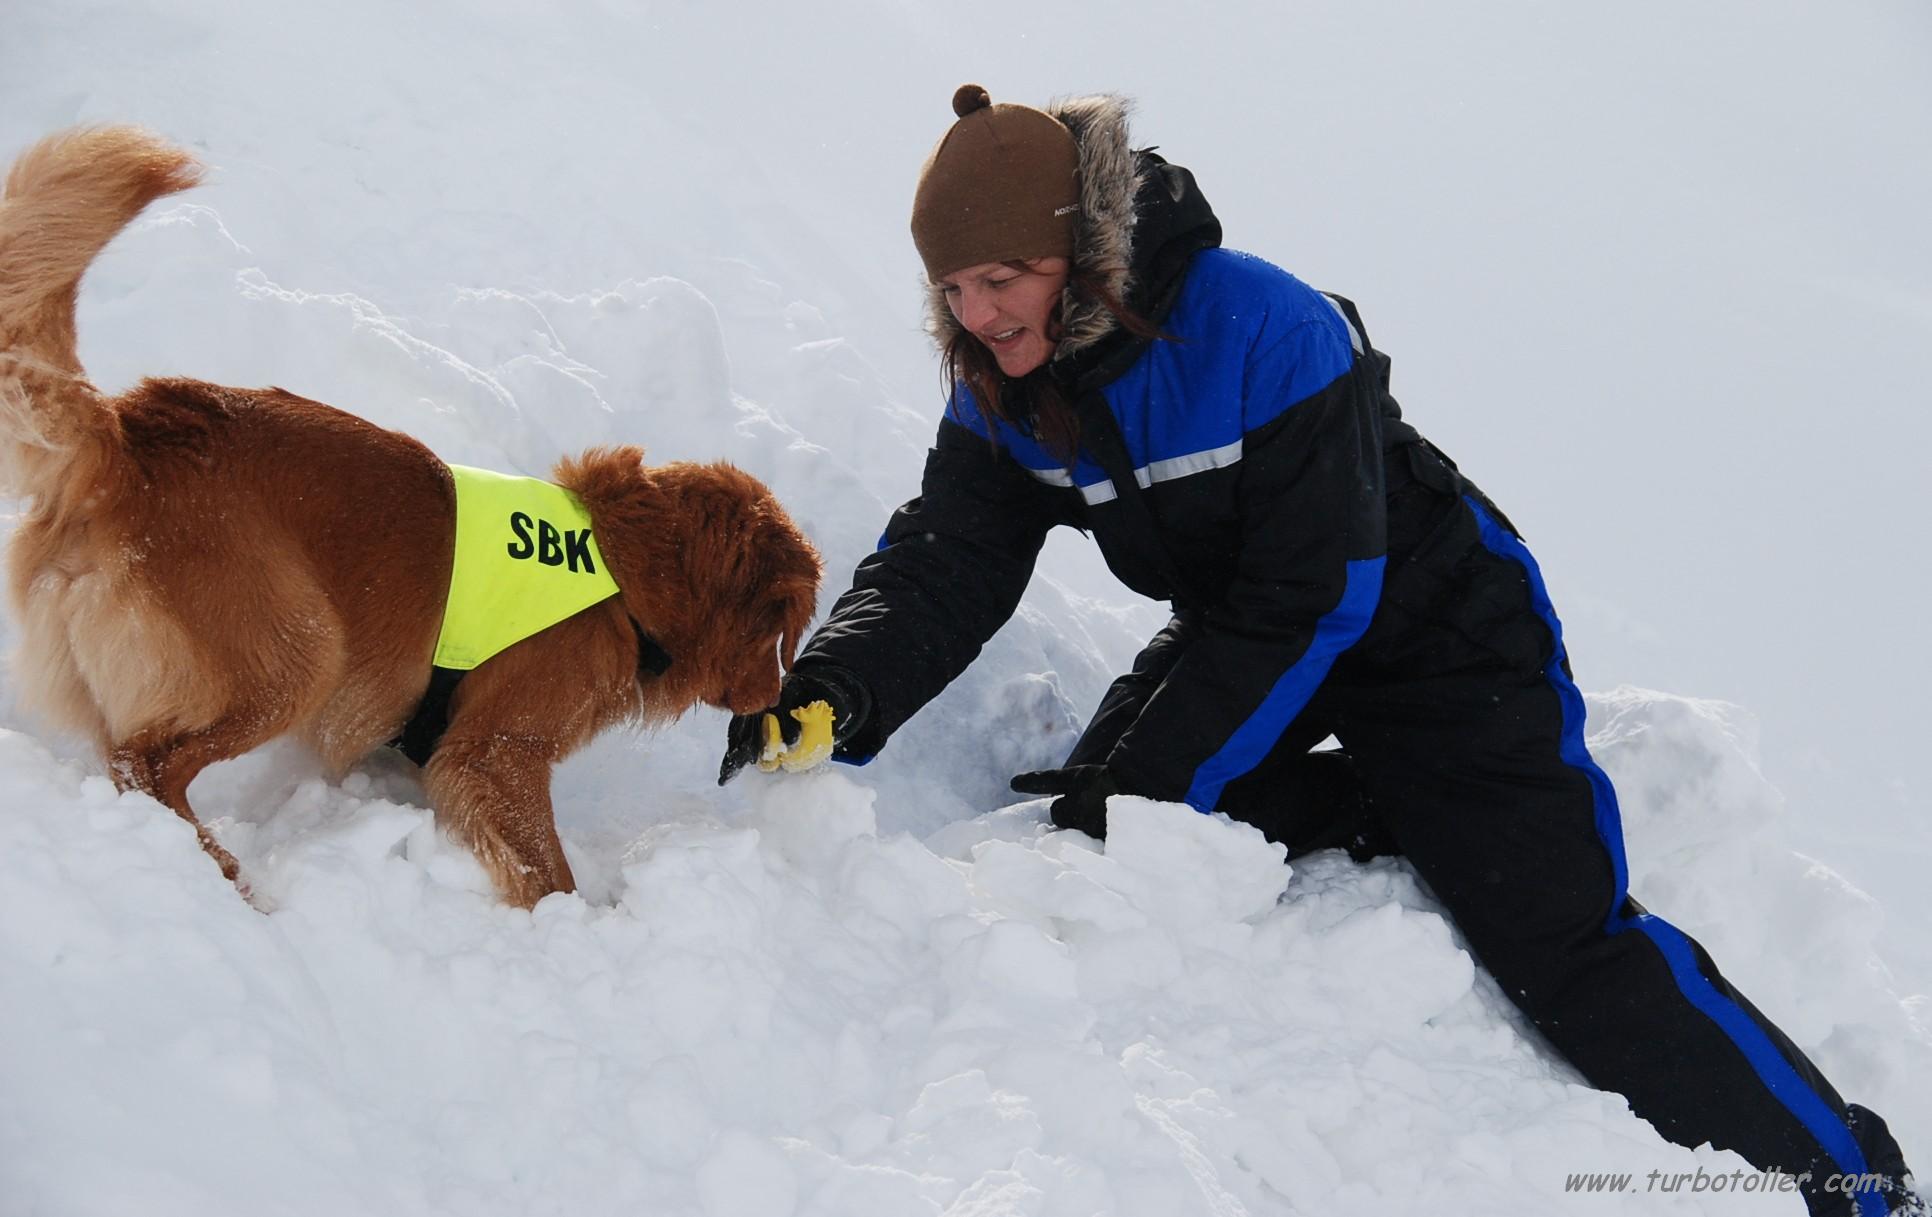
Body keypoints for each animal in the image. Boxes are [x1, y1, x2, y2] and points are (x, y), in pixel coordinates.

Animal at [0, 128, 823, 911]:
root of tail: (132, 436)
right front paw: (581, 925)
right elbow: (546, 868)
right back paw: (230, 879)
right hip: (304, 647)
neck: (629, 573)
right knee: (147, 766)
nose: (775, 701)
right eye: (780, 629)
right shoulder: (496, 749)